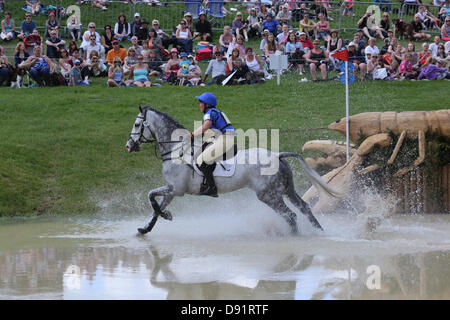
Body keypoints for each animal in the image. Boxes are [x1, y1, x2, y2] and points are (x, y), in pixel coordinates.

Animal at [125, 106, 342, 234]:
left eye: (136, 124)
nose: (129, 146)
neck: (176, 149)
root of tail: (277, 155)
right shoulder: (172, 190)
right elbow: (156, 207)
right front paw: (146, 228)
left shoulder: (175, 189)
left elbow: (151, 197)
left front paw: (165, 216)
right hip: (287, 190)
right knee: (304, 208)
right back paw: (319, 232)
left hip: (269, 195)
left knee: (291, 215)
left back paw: (295, 237)